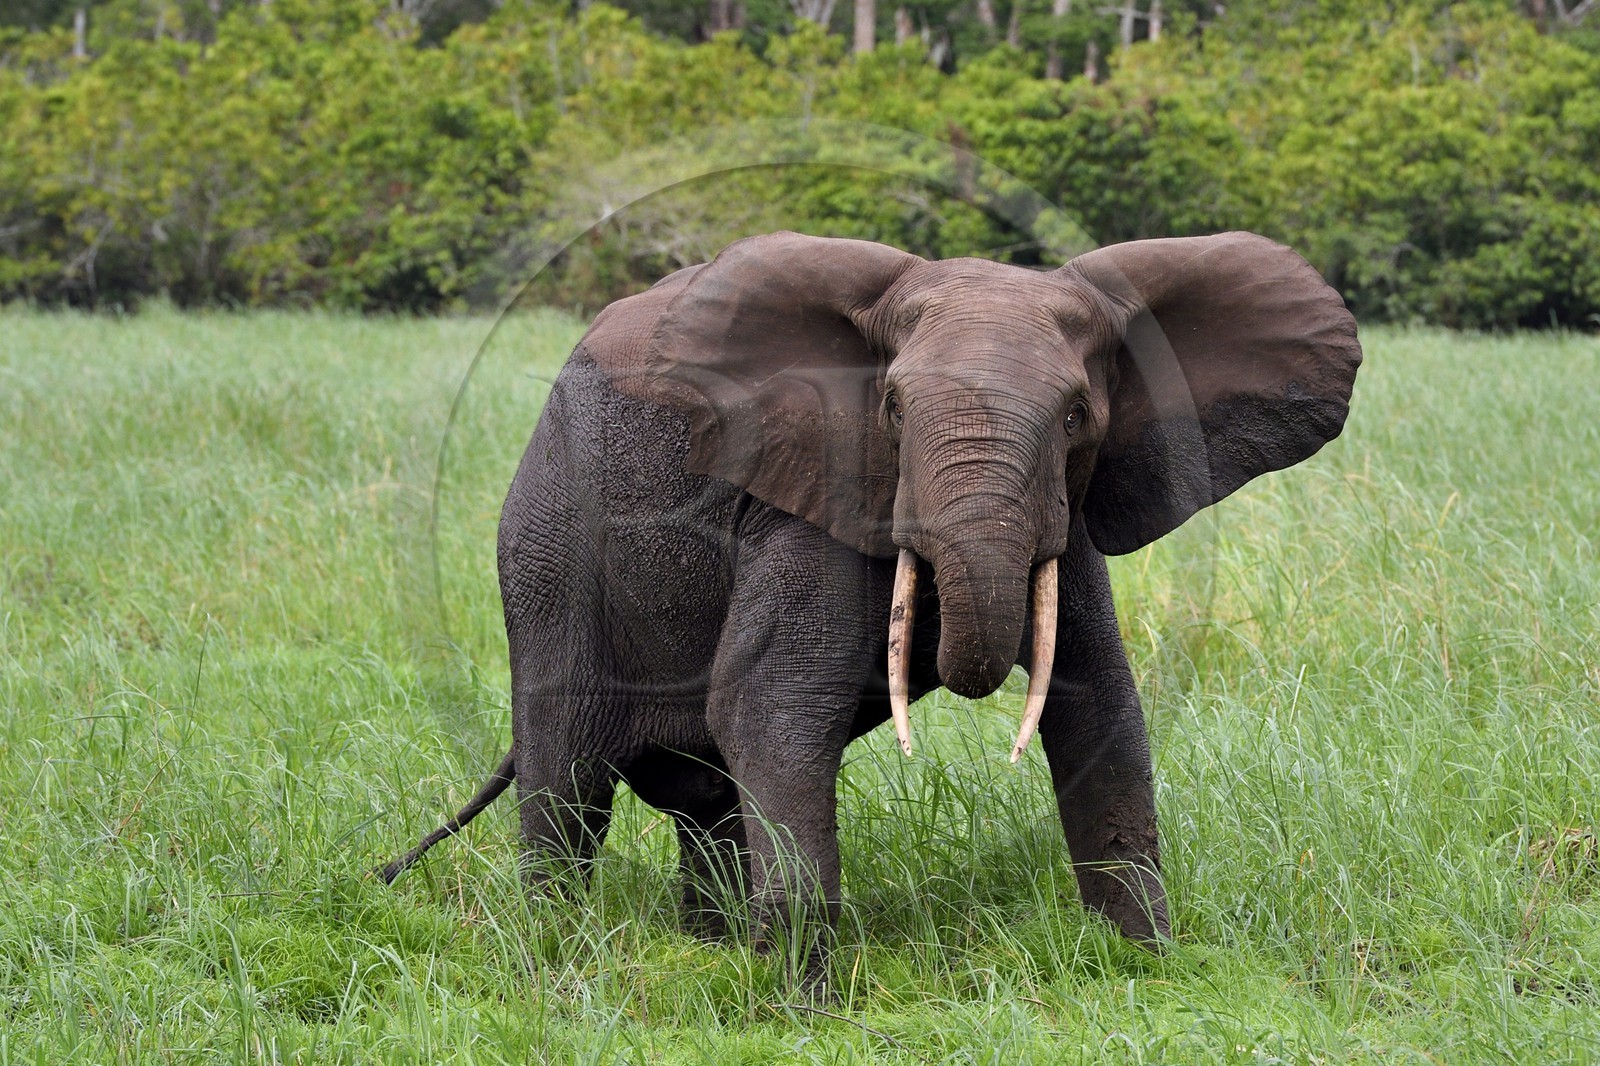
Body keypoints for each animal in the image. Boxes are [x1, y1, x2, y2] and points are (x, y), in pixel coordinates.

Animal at [380, 230, 1361, 991]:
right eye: (890, 407)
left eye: (1077, 416)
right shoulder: (806, 504)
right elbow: (770, 710)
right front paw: (804, 1008)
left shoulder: (1067, 523)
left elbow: (1101, 709)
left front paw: (1145, 971)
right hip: (547, 542)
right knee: (569, 776)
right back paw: (558, 951)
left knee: (707, 796)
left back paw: (713, 948)